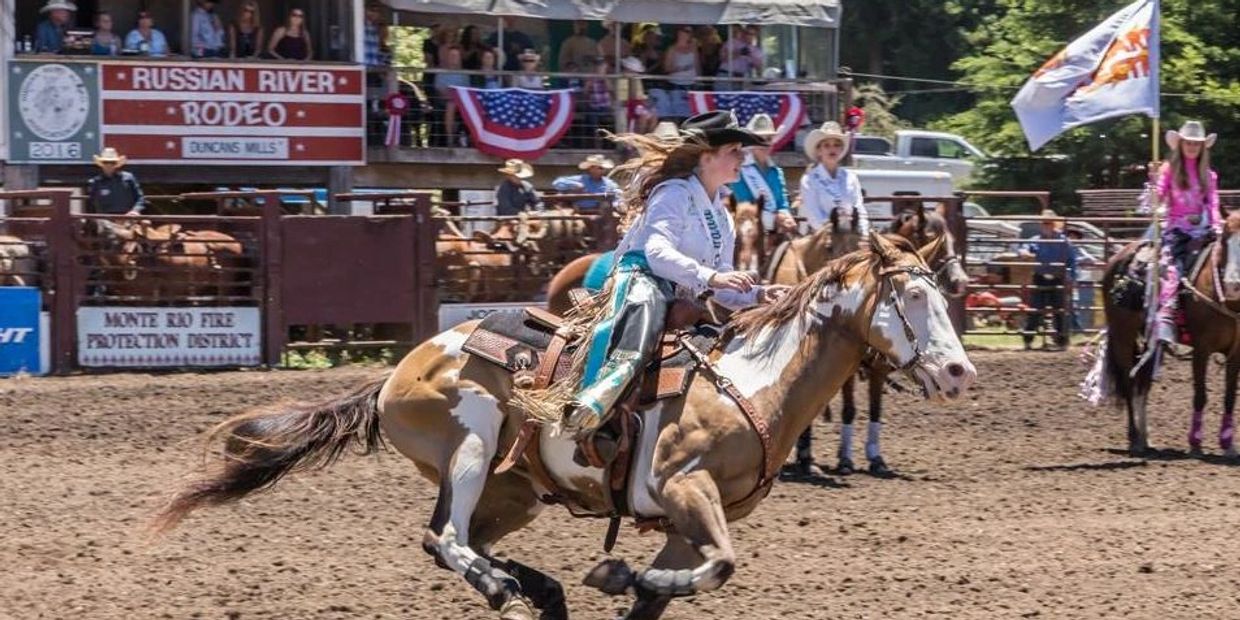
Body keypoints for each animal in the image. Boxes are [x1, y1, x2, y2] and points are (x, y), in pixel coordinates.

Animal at [768, 208, 972, 473]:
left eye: (953, 238)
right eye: (929, 234)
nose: (960, 281)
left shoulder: (879, 369)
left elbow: (876, 410)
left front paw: (876, 458)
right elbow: (849, 410)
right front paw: (844, 459)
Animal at [1101, 208, 1240, 456]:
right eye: (1224, 239)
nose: (1234, 285)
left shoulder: (1236, 353)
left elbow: (1229, 397)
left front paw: (1228, 444)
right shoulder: (1201, 349)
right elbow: (1200, 395)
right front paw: (1195, 443)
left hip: (1151, 343)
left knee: (1142, 386)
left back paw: (1145, 439)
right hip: (1122, 335)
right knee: (1129, 382)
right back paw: (1134, 439)